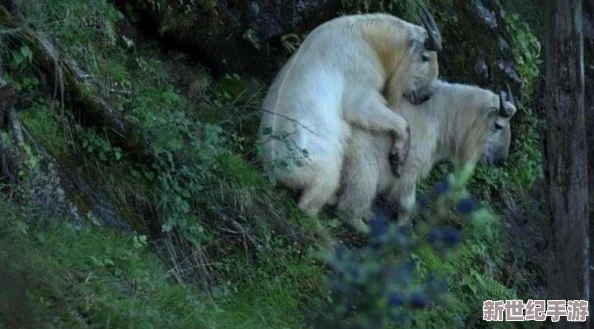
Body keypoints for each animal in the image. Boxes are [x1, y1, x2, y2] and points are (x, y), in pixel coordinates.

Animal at [256, 9, 442, 217]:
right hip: (318, 161)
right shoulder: (359, 75)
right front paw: (398, 158)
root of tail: (277, 172)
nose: (427, 95)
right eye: (425, 57)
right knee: (318, 190)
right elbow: (366, 110)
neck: (369, 40)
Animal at [336, 80, 516, 229]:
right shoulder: (410, 167)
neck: (441, 114)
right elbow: (407, 202)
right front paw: (402, 226)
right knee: (348, 206)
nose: (500, 161)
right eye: (498, 125)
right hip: (363, 165)